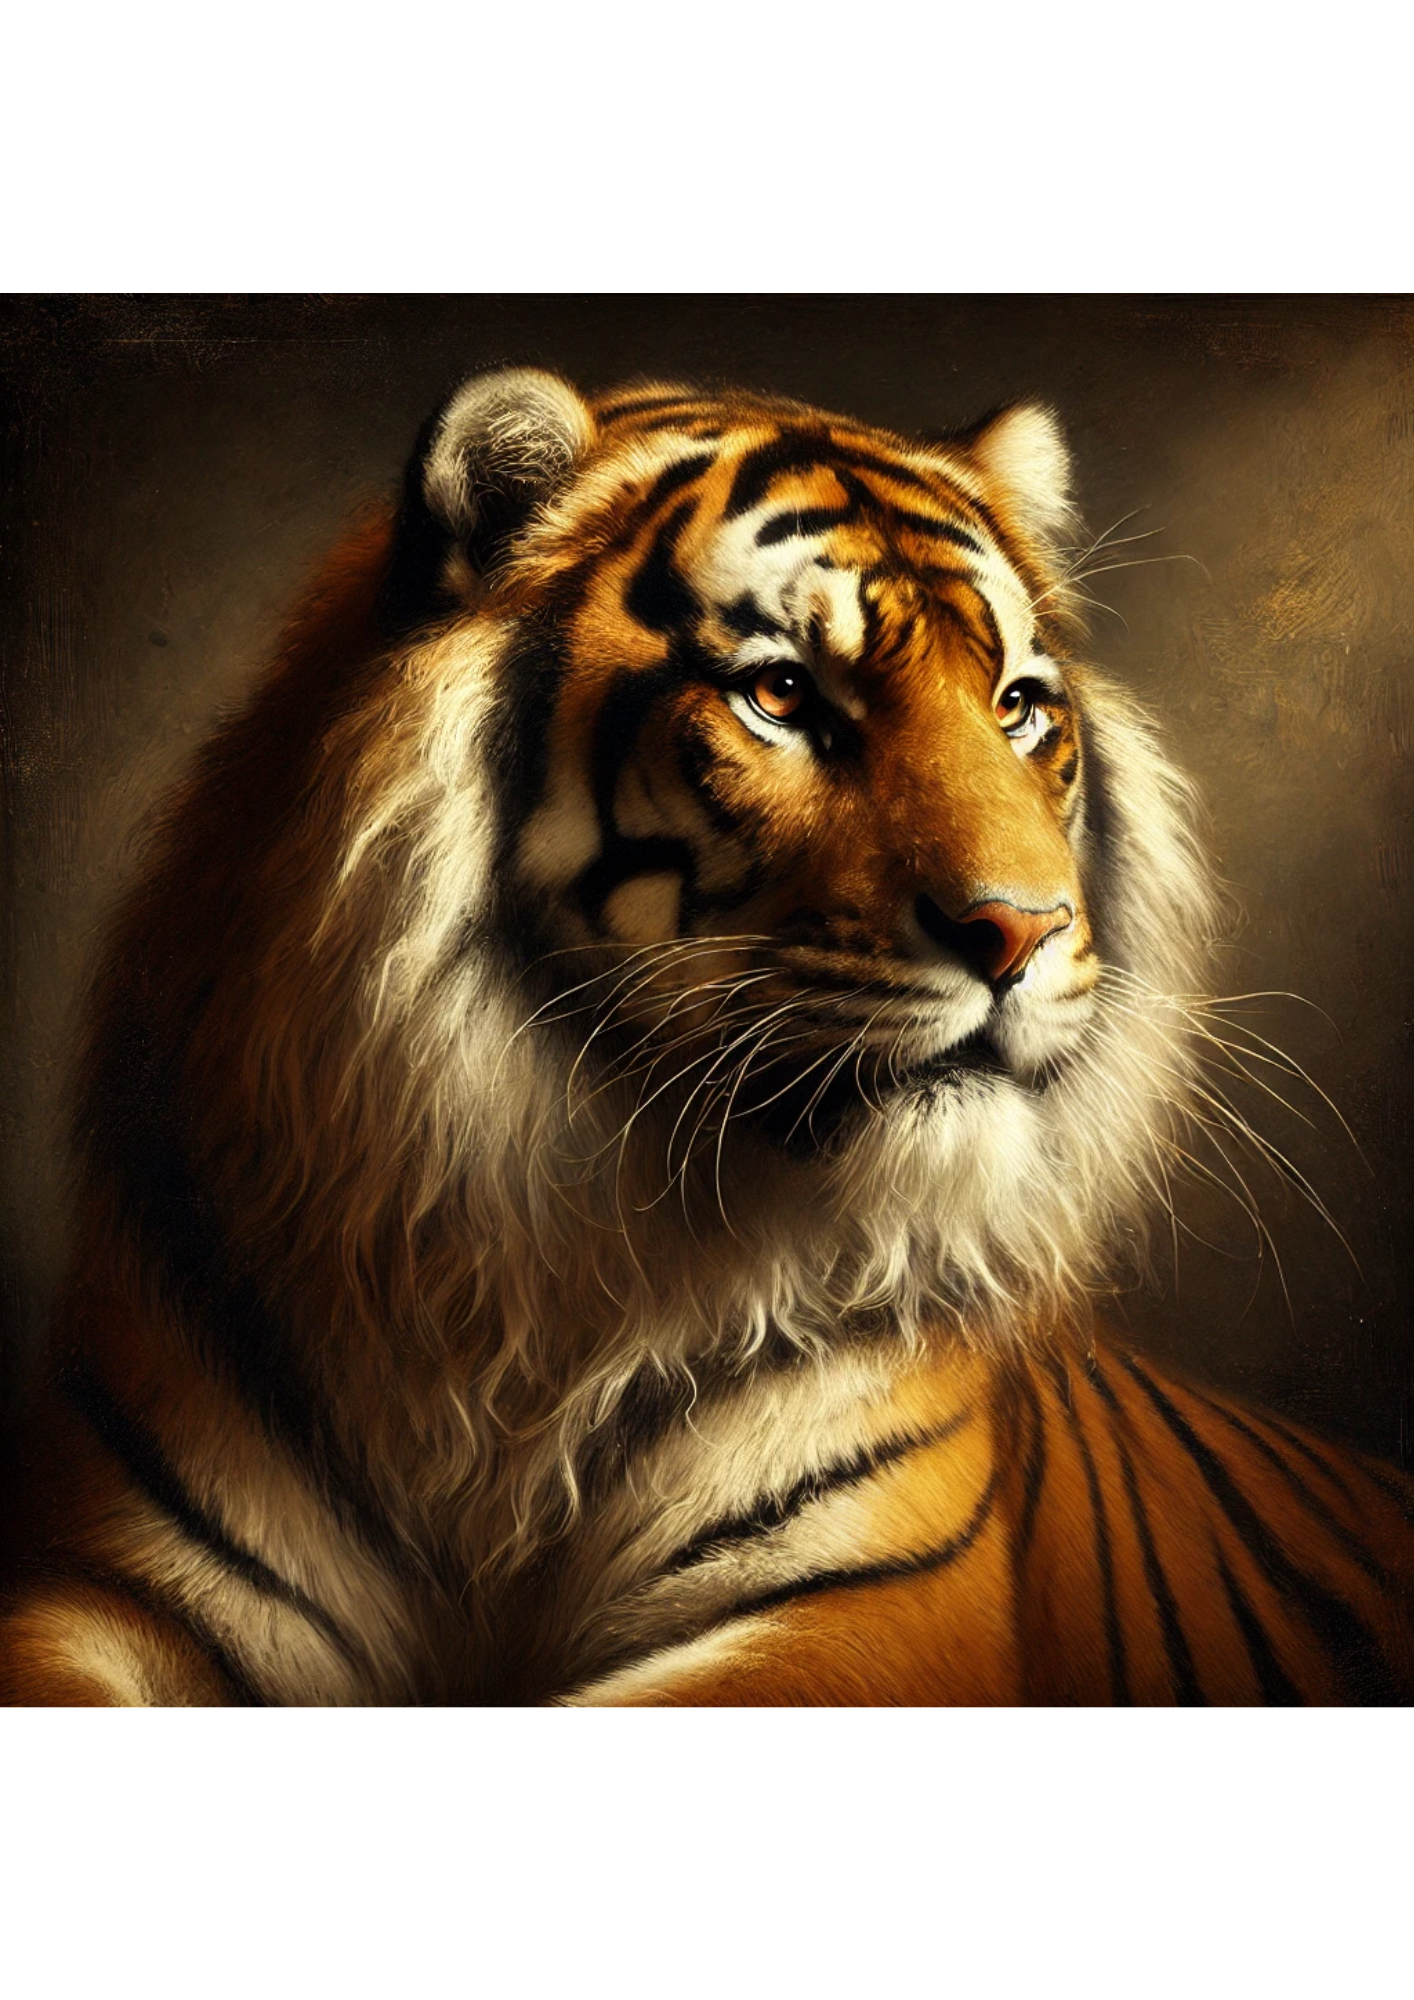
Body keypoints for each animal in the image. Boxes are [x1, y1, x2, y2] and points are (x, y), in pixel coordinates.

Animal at [2, 365, 1412, 1705]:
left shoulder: (865, 1610)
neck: (519, 1286)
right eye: (781, 694)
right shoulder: (105, 1580)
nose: (1021, 927)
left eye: (1016, 705)